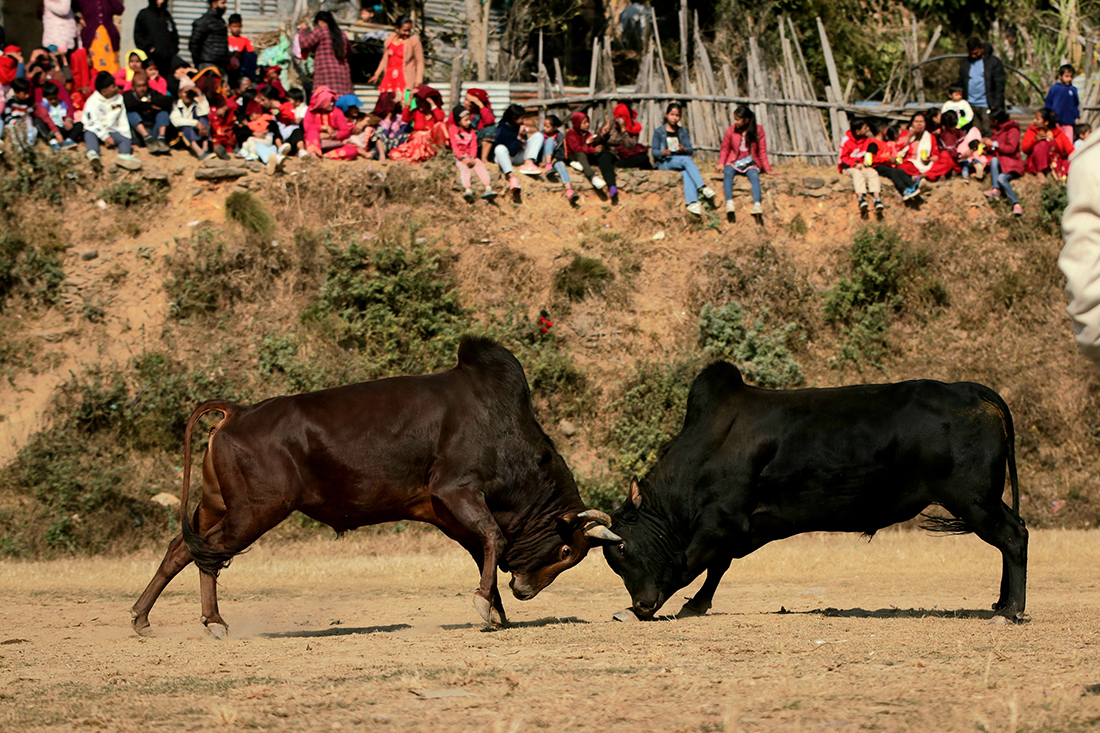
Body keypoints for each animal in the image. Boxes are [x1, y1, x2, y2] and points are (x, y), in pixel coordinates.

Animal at [128, 336, 620, 633]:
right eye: (565, 550)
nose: (525, 591)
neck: (506, 432)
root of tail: (238, 411)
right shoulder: (457, 491)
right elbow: (494, 539)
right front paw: (487, 604)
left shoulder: (444, 513)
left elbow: (484, 548)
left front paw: (497, 611)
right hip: (256, 510)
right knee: (207, 553)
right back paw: (209, 619)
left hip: (218, 505)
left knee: (182, 548)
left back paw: (148, 617)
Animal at [607, 363, 1025, 620]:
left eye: (622, 547)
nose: (642, 602)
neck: (708, 445)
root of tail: (972, 390)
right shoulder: (741, 527)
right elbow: (716, 566)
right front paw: (695, 605)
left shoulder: (719, 522)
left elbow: (686, 563)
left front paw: (640, 610)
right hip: (986, 498)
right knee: (1014, 533)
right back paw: (1002, 603)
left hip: (973, 499)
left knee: (1013, 537)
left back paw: (1012, 610)